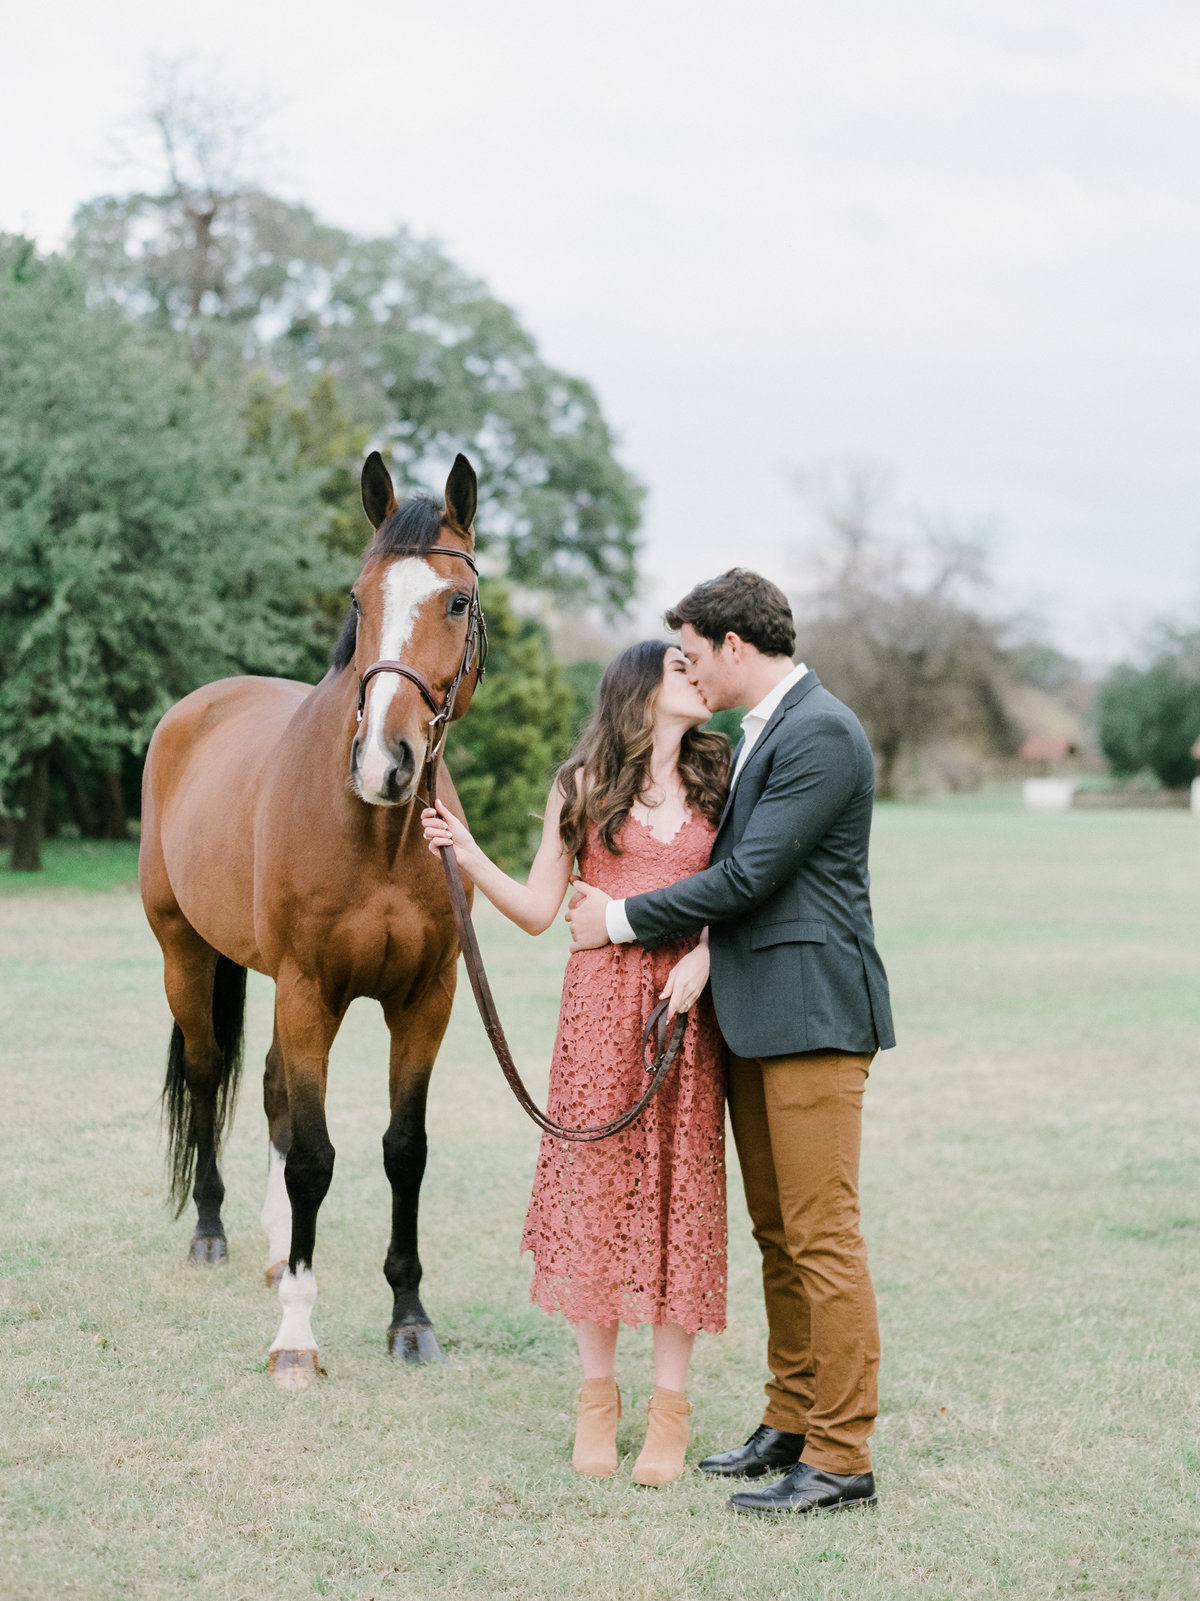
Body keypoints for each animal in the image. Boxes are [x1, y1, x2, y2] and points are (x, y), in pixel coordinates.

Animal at [137, 454, 483, 1389]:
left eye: (457, 602)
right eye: (359, 599)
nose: (385, 762)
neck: (377, 833)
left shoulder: (426, 1001)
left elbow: (404, 1149)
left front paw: (409, 1315)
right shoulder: (309, 991)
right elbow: (316, 1158)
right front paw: (297, 1332)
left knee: (267, 1090)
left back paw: (266, 1246)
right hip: (187, 954)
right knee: (212, 1074)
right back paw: (213, 1231)